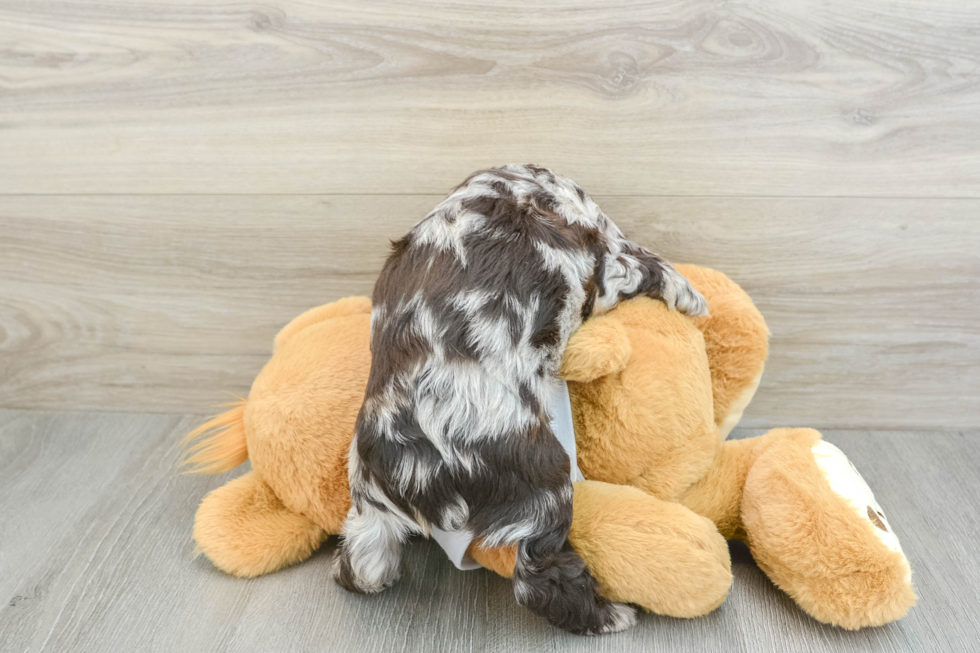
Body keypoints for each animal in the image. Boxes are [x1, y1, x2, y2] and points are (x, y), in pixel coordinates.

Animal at [334, 166, 708, 636]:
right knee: (538, 578)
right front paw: (693, 296)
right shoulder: (606, 262)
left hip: (368, 497)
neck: (518, 193)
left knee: (363, 553)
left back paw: (368, 576)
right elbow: (645, 263)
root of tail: (412, 459)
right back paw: (608, 616)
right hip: (542, 480)